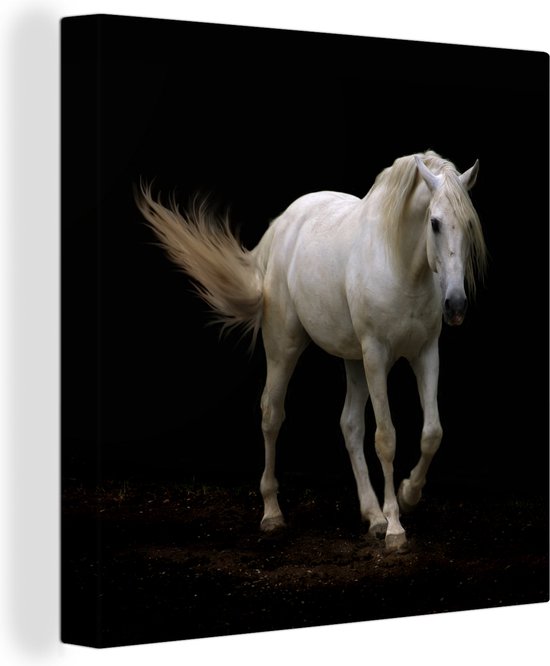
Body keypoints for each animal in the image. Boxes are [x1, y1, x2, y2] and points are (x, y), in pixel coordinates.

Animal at [136, 150, 487, 550]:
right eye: (435, 223)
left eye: (469, 224)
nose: (455, 305)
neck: (399, 262)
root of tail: (282, 225)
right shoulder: (376, 356)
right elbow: (386, 438)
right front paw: (396, 527)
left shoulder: (425, 354)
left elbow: (432, 433)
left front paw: (409, 495)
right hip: (286, 347)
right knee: (272, 414)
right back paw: (273, 513)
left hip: (353, 360)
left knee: (350, 425)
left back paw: (372, 514)